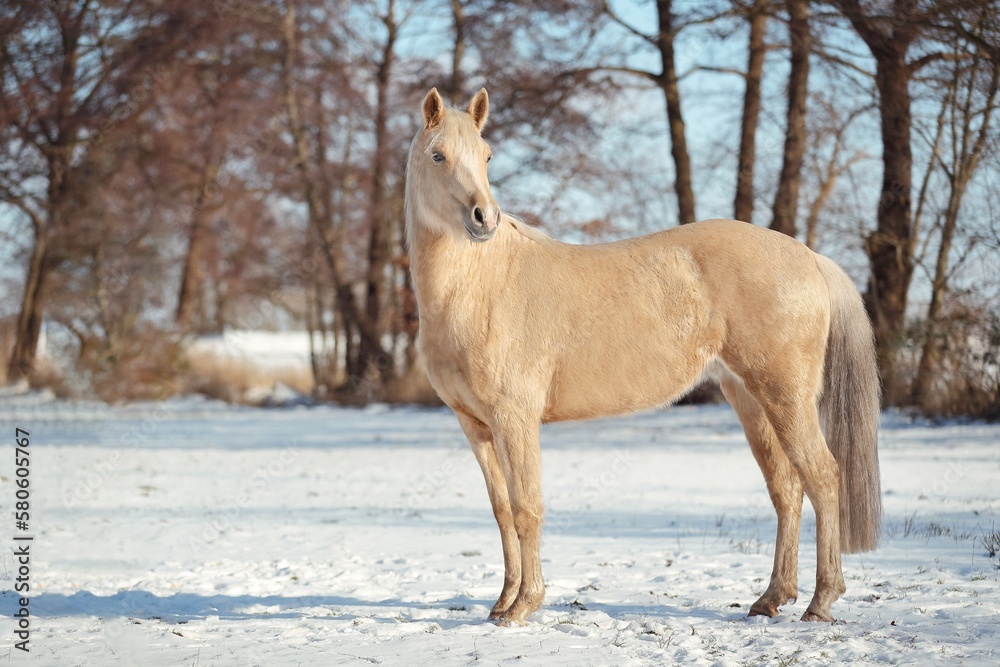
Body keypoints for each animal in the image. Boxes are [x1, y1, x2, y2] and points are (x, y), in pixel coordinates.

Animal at [404, 87, 882, 626]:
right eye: (438, 156)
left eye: (486, 156)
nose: (484, 219)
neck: (482, 285)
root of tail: (810, 258)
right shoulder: (476, 426)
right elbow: (502, 509)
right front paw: (502, 603)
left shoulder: (515, 419)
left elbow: (527, 508)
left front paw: (524, 605)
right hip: (751, 400)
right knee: (786, 488)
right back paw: (771, 598)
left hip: (787, 398)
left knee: (822, 476)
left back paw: (821, 601)